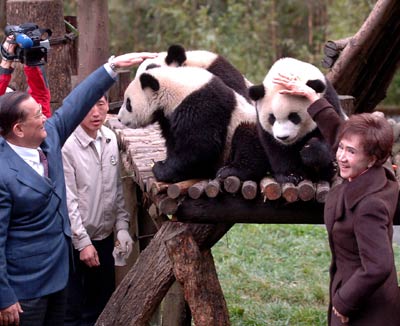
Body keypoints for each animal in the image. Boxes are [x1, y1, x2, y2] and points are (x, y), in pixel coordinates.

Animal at [117, 65, 260, 183]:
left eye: (128, 103)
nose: (119, 118)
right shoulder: (168, 117)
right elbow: (173, 140)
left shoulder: (202, 106)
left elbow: (200, 146)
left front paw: (161, 169)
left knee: (248, 140)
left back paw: (230, 171)